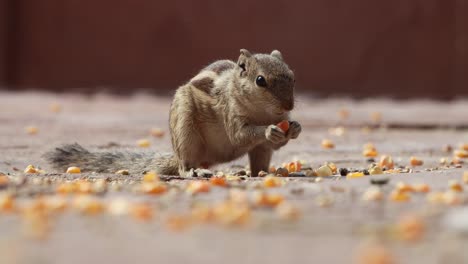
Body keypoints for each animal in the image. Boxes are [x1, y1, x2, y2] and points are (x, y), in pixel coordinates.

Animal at [45, 49, 302, 177]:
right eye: (260, 81)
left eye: (292, 76)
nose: (288, 106)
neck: (262, 113)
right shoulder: (232, 114)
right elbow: (240, 136)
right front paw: (269, 131)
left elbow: (278, 139)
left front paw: (295, 128)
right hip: (186, 132)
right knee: (184, 166)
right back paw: (194, 172)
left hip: (260, 151)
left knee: (259, 164)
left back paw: (269, 173)